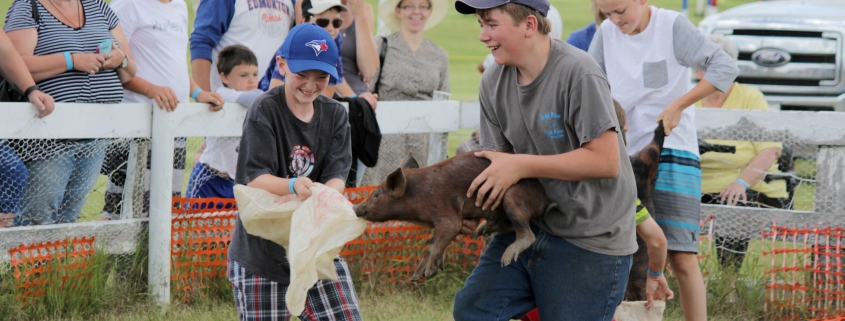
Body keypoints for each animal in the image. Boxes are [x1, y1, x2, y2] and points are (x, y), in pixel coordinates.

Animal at [352, 152, 552, 280]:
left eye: (376, 194)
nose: (356, 208)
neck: (416, 195)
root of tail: (544, 202)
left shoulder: (447, 217)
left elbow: (433, 245)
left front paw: (422, 275)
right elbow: (437, 244)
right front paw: (429, 271)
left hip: (512, 197)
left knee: (527, 234)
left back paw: (505, 259)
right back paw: (481, 231)